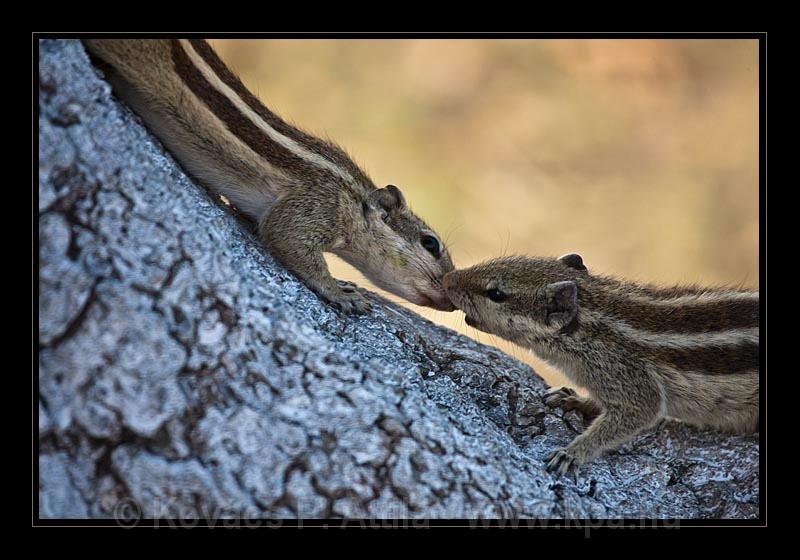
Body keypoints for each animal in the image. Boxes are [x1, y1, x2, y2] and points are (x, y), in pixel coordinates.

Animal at [83, 39, 456, 316]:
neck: (353, 196)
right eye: (430, 244)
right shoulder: (315, 205)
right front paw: (339, 291)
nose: (453, 299)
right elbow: (286, 238)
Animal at [440, 254, 760, 476]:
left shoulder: (632, 381)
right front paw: (573, 399)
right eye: (495, 261)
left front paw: (573, 452)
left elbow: (640, 411)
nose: (447, 279)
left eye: (496, 293)